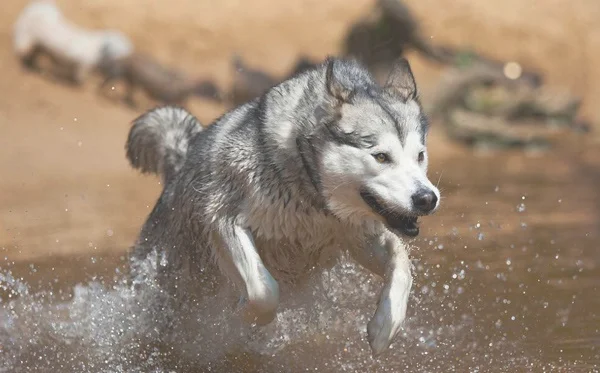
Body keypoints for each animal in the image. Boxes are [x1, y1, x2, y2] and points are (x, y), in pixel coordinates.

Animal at [125, 55, 440, 354]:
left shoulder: (359, 237)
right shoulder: (225, 219)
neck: (311, 197)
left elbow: (402, 265)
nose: (427, 199)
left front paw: (385, 326)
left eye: (420, 155)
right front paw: (243, 316)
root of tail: (179, 164)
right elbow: (263, 292)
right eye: (381, 156)